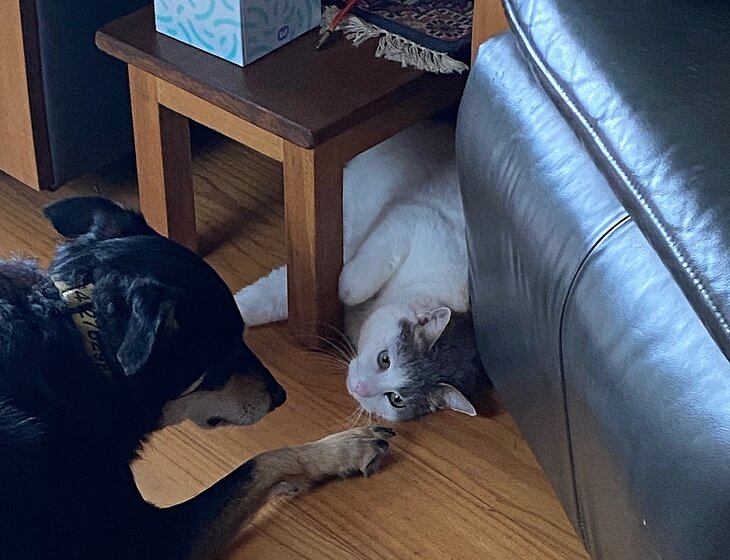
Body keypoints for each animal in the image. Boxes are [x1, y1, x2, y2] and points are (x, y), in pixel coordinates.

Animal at [0, 197, 394, 560]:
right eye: (226, 352)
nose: (280, 395)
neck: (83, 346)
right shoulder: (148, 541)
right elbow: (261, 462)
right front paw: (343, 448)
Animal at [236, 118, 488, 421]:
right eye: (385, 360)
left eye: (395, 399)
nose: (360, 388)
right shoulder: (412, 222)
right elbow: (354, 286)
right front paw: (343, 285)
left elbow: (274, 298)